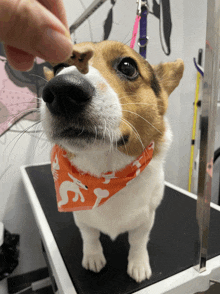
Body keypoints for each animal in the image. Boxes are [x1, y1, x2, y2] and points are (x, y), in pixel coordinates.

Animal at [40, 41, 184, 282]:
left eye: (127, 66)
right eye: (59, 67)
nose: (62, 89)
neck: (106, 172)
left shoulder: (145, 219)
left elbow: (138, 242)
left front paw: (138, 265)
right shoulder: (82, 218)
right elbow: (90, 237)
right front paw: (93, 258)